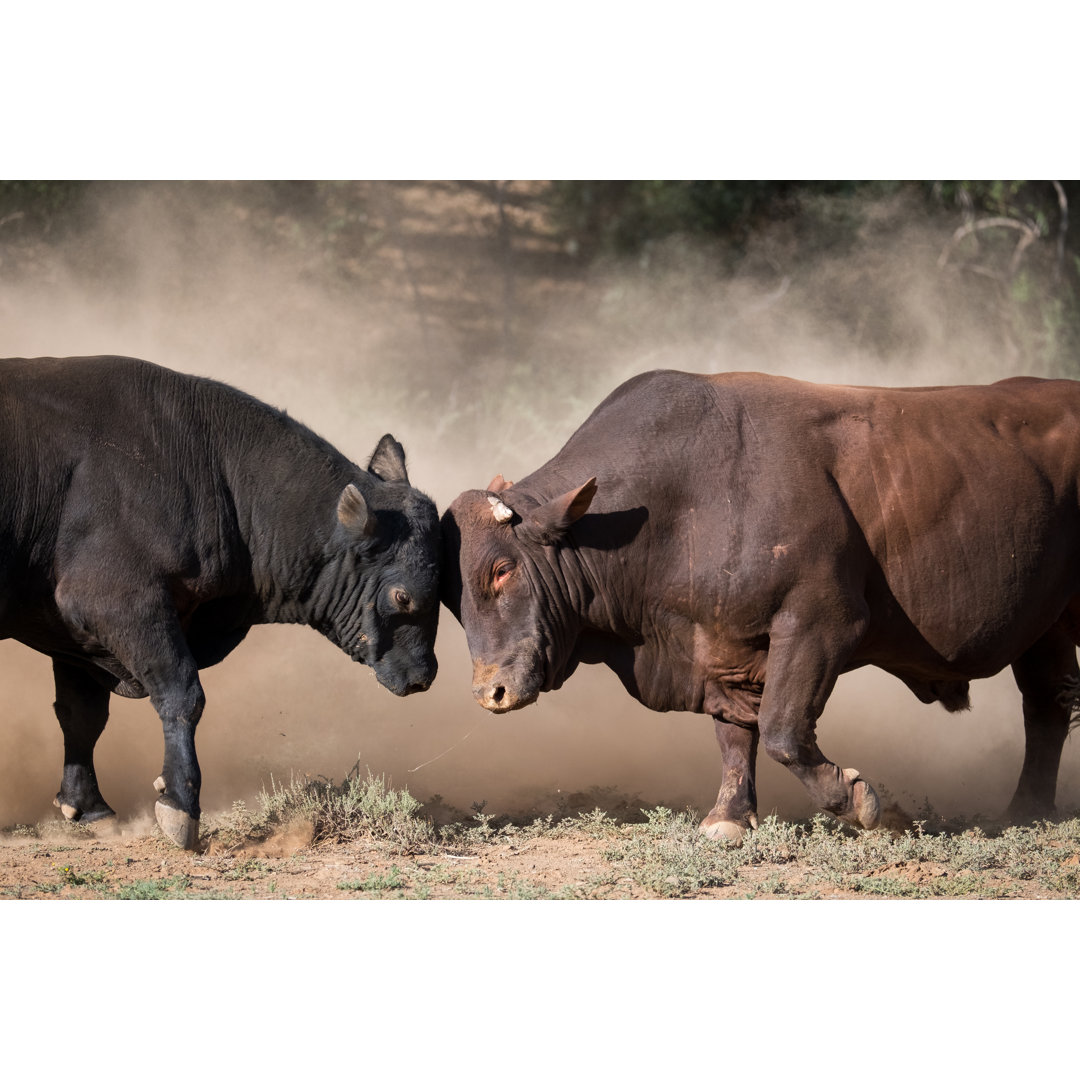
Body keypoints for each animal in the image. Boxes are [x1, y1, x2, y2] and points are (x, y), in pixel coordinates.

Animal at [1, 358, 438, 846]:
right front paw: (180, 806)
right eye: (402, 595)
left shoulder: (74, 640)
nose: (423, 676)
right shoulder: (119, 605)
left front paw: (89, 807)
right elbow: (181, 695)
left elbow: (82, 716)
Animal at [440, 369, 1080, 833]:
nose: (490, 691)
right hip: (1047, 629)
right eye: (451, 594)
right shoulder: (723, 649)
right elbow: (736, 734)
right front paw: (729, 818)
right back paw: (1029, 808)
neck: (685, 499)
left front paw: (858, 801)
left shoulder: (820, 625)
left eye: (502, 569)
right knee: (1047, 707)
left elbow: (781, 730)